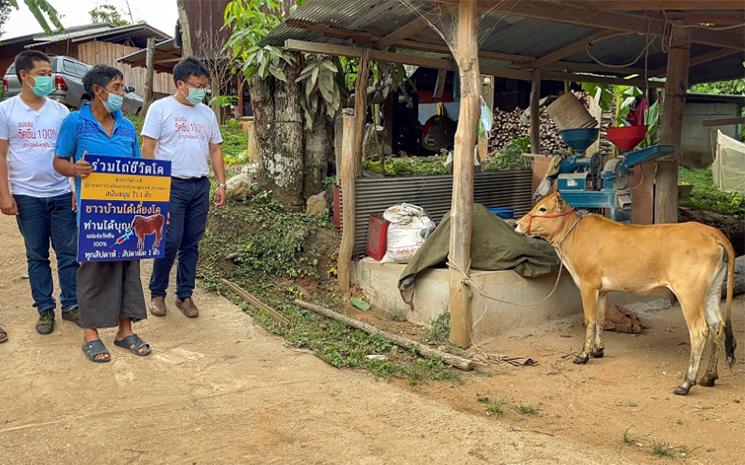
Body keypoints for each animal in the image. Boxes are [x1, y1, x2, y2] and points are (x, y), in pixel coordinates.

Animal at [516, 190, 736, 394]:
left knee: (699, 331)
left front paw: (583, 355)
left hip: (689, 293)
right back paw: (708, 377)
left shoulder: (588, 284)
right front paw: (598, 350)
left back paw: (686, 383)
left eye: (543, 209)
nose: (517, 224)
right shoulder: (603, 289)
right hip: (712, 291)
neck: (573, 235)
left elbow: (589, 319)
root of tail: (713, 232)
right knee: (717, 326)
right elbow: (601, 318)